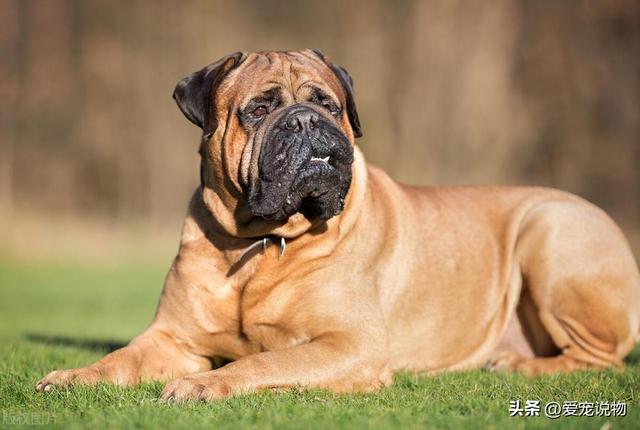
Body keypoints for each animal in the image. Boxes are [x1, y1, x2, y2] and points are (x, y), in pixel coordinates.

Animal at [37, 51, 640, 404]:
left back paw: (516, 365)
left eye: (328, 104)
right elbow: (119, 358)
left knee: (601, 360)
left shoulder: (351, 343)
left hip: (550, 230)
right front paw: (71, 378)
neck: (258, 244)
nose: (308, 123)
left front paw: (203, 384)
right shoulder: (171, 338)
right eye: (258, 110)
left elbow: (266, 360)